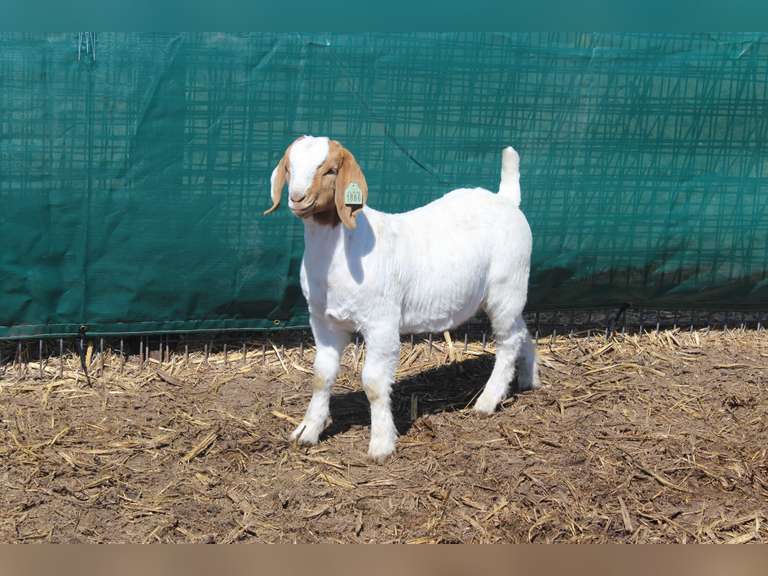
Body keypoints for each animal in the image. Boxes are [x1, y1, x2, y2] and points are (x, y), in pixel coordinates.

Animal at [265, 136, 539, 461]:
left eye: (330, 169)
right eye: (289, 167)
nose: (298, 198)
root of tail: (506, 199)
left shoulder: (381, 322)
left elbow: (373, 383)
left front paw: (381, 444)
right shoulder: (323, 320)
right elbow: (322, 375)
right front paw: (308, 431)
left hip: (506, 285)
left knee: (508, 340)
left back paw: (488, 400)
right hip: (509, 294)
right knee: (521, 330)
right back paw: (529, 379)